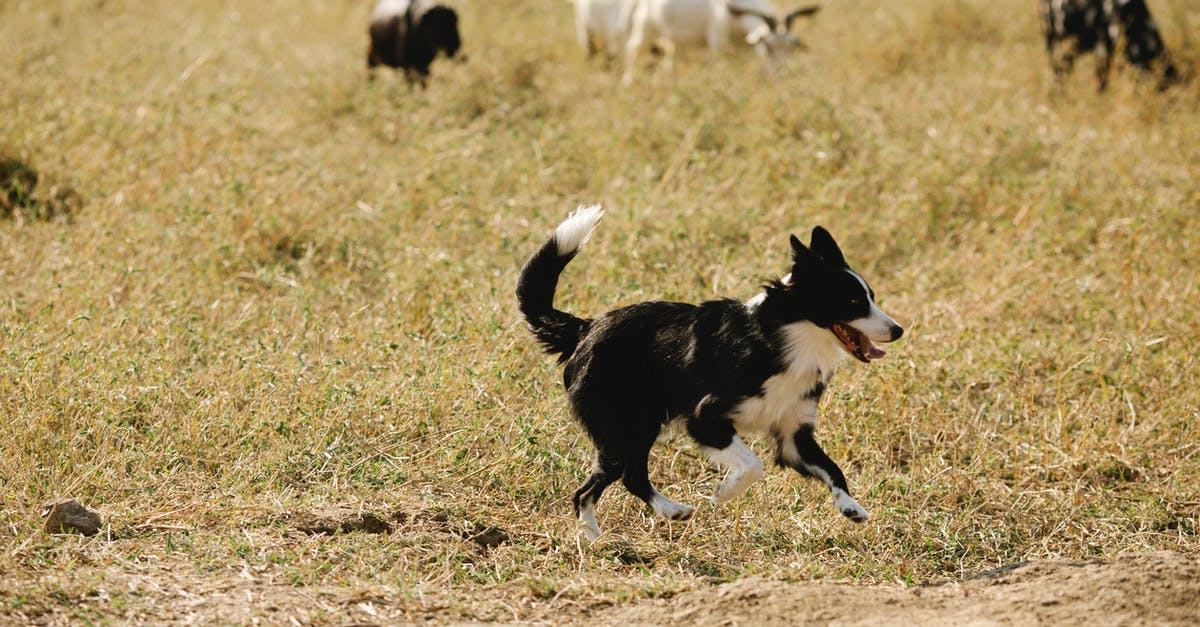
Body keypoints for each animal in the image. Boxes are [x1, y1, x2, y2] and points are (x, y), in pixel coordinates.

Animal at [516, 206, 902, 535]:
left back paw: (629, 527)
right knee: (608, 483)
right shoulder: (704, 417)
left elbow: (832, 469)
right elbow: (753, 464)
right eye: (853, 302)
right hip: (627, 425)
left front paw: (850, 506)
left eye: (871, 296)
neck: (783, 340)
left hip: (634, 426)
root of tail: (586, 327)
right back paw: (628, 526)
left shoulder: (794, 435)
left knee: (614, 481)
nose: (898, 330)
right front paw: (725, 492)